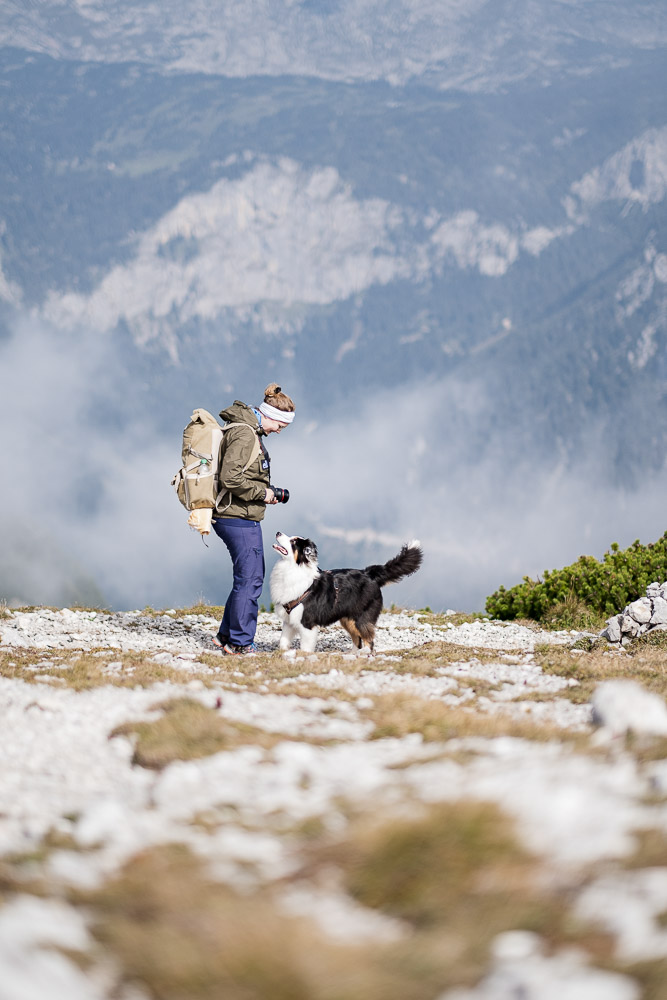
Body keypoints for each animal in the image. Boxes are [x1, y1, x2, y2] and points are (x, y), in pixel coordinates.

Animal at [270, 532, 422, 656]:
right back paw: (352, 653)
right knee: (357, 640)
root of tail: (369, 574)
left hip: (361, 618)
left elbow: (305, 646)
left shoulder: (307, 622)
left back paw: (365, 653)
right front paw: (282, 653)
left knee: (369, 639)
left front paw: (304, 656)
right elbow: (283, 641)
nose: (278, 532)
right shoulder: (288, 621)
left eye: (293, 542)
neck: (293, 568)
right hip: (348, 619)